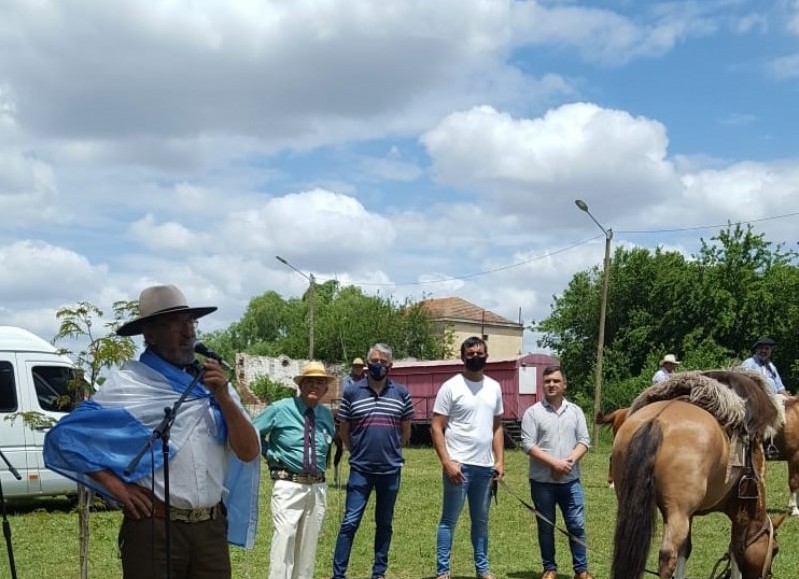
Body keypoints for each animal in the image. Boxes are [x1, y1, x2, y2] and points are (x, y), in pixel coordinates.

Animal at [608, 402, 784, 579]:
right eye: (775, 550)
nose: (768, 575)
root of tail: (655, 421)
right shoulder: (741, 515)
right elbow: (736, 552)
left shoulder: (690, 515)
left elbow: (685, 550)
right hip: (678, 513)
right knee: (667, 556)